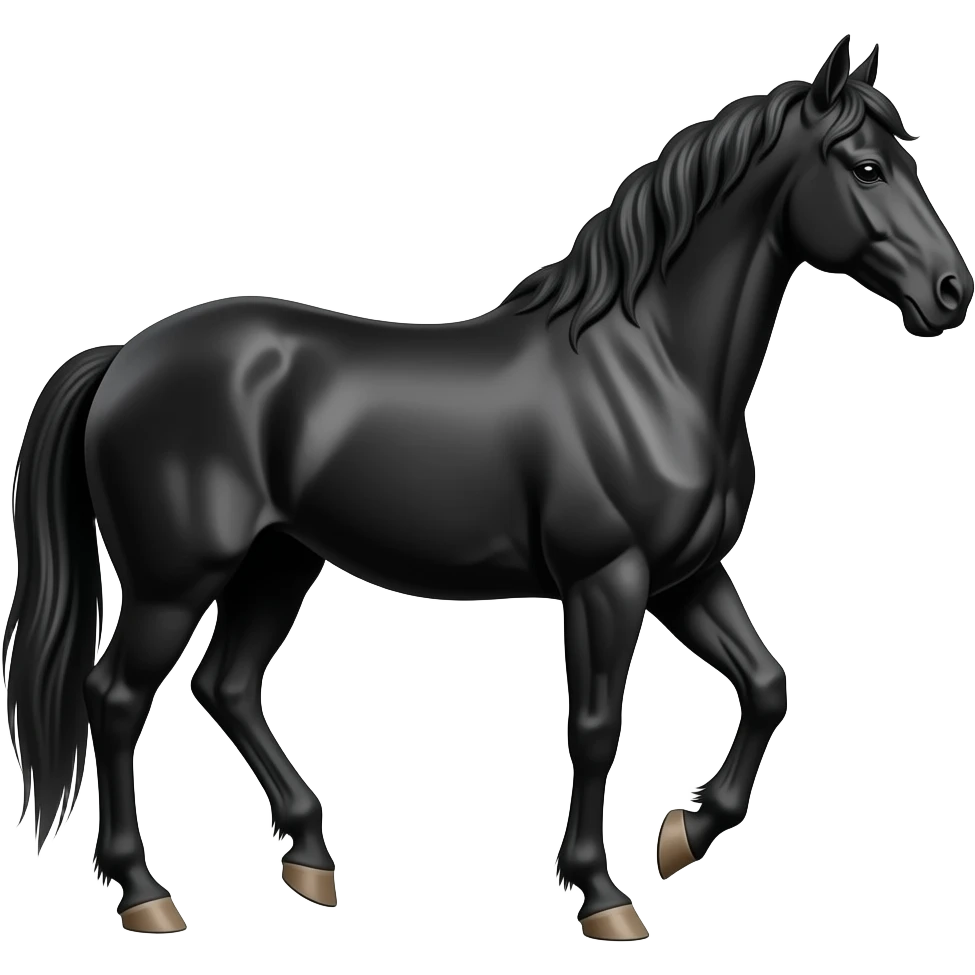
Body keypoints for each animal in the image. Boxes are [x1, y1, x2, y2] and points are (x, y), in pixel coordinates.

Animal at [3, 34, 971, 940]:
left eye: (909, 158)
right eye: (866, 166)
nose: (950, 292)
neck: (651, 366)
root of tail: (123, 358)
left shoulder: (685, 577)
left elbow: (768, 685)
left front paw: (683, 833)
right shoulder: (606, 580)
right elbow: (594, 728)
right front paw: (601, 894)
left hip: (279, 562)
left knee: (226, 685)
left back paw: (310, 858)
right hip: (175, 580)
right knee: (115, 699)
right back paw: (146, 893)